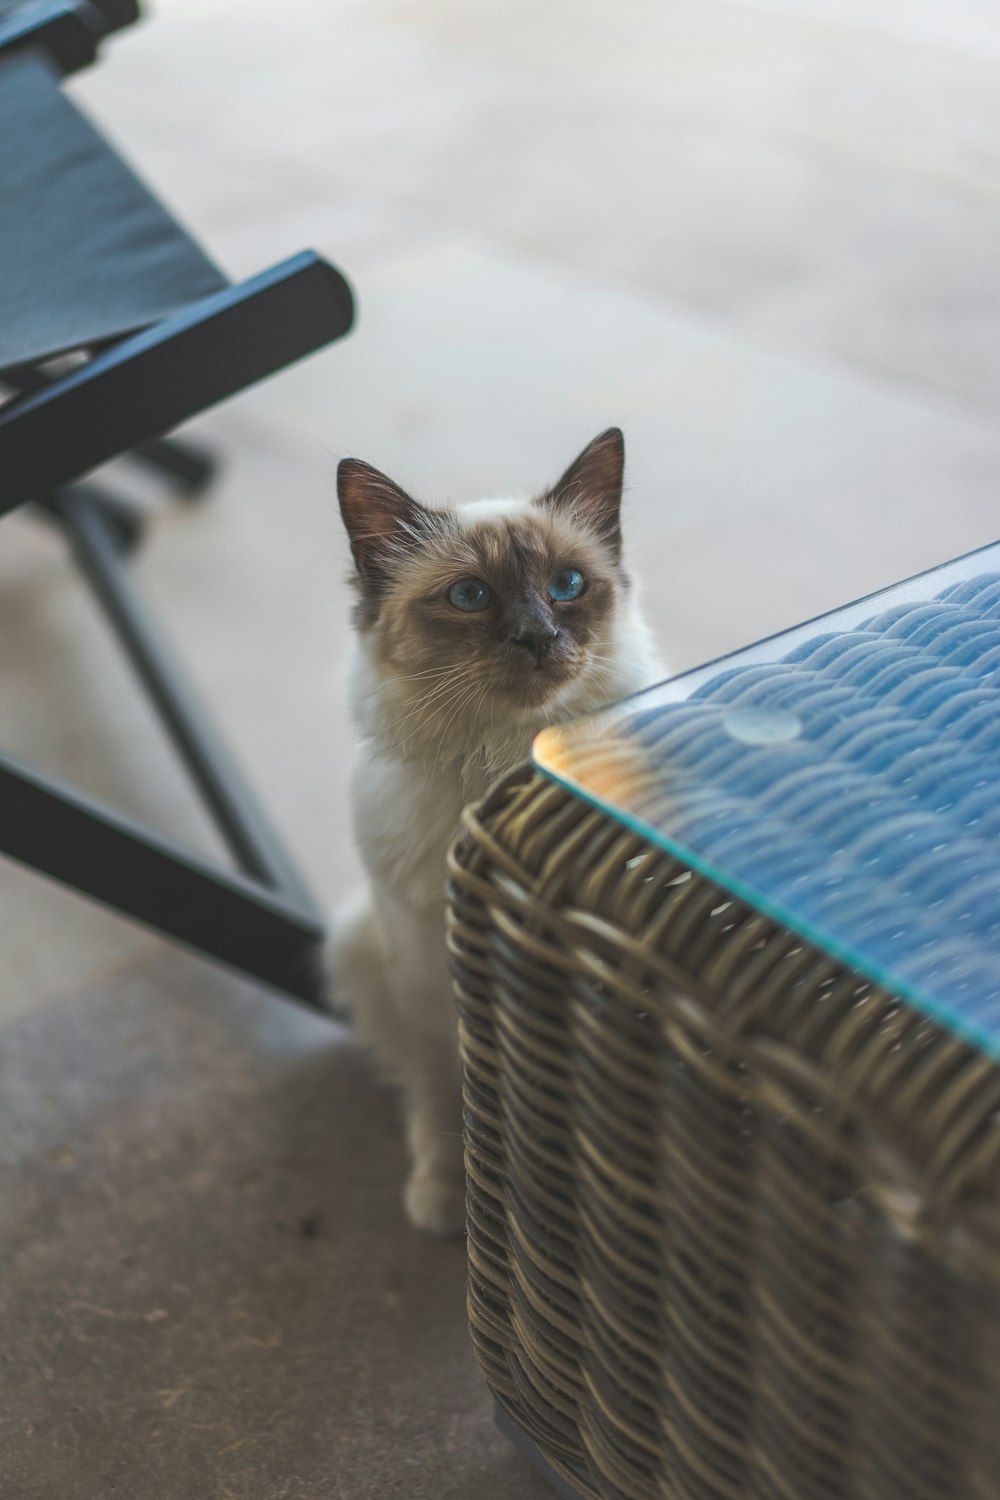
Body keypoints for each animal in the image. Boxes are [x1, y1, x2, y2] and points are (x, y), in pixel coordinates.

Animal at [329, 429, 665, 1236]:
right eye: (471, 597)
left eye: (567, 585)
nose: (538, 637)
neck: (502, 771)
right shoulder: (427, 986)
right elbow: (445, 1100)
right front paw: (448, 1196)